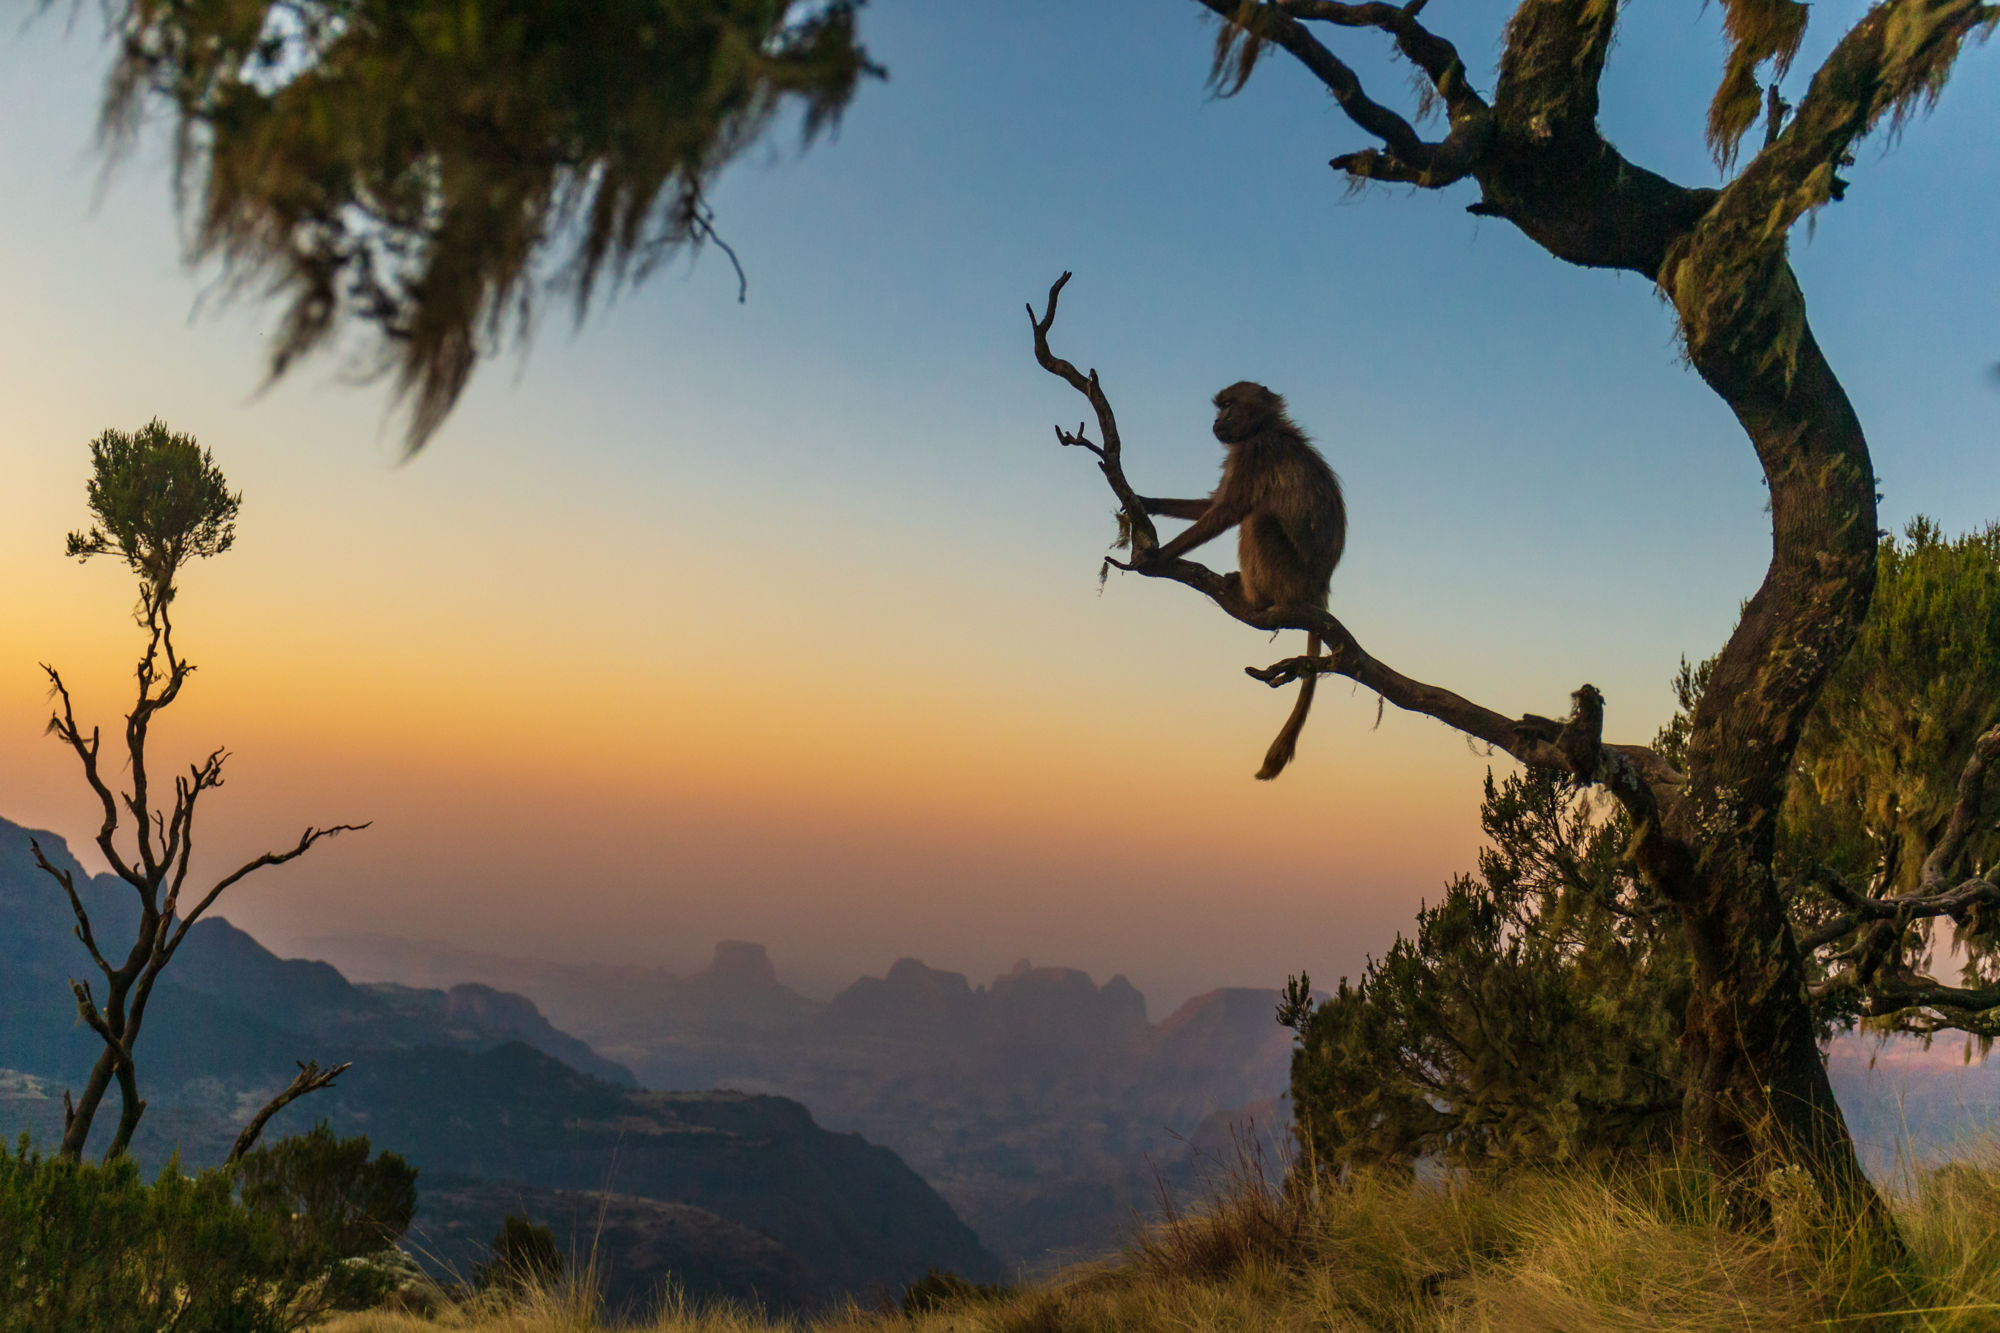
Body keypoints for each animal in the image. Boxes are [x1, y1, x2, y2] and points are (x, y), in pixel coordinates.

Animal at [1139, 381, 1346, 780]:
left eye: (1228, 405)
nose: (1216, 421)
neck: (1266, 427)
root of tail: (1319, 592)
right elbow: (1212, 504)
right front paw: (1144, 501)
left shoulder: (1255, 452)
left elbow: (1229, 510)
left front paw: (1160, 556)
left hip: (1289, 578)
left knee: (1257, 518)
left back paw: (1254, 599)